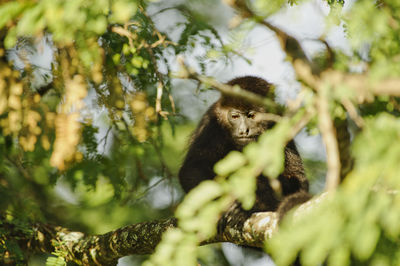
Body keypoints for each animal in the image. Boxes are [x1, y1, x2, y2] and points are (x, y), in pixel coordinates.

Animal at [180, 75, 310, 218]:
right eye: (235, 116)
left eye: (251, 116)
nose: (243, 130)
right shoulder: (211, 123)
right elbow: (193, 168)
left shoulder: (280, 123)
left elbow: (298, 178)